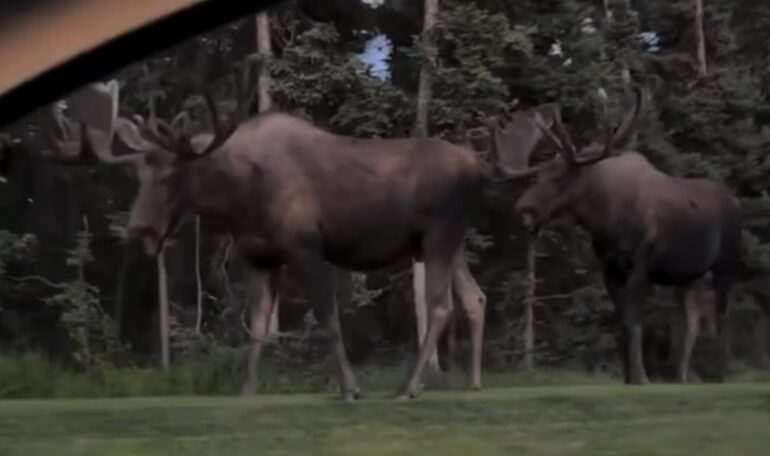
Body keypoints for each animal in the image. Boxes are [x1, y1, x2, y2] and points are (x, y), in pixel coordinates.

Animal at [40, 72, 492, 401]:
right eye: (137, 178)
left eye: (172, 177)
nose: (140, 234)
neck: (239, 199)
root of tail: (480, 168)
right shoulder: (258, 257)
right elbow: (257, 326)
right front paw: (248, 389)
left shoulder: (308, 247)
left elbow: (329, 319)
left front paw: (350, 388)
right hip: (450, 243)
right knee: (474, 297)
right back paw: (472, 382)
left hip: (438, 236)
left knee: (438, 306)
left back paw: (408, 387)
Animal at [488, 86, 741, 385]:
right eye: (537, 178)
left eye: (561, 180)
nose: (522, 209)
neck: (604, 220)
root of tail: (737, 204)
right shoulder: (609, 268)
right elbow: (621, 322)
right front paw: (628, 377)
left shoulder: (640, 263)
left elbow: (634, 321)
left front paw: (641, 378)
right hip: (689, 276)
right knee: (693, 322)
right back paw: (681, 378)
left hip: (726, 265)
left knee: (722, 316)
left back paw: (720, 374)